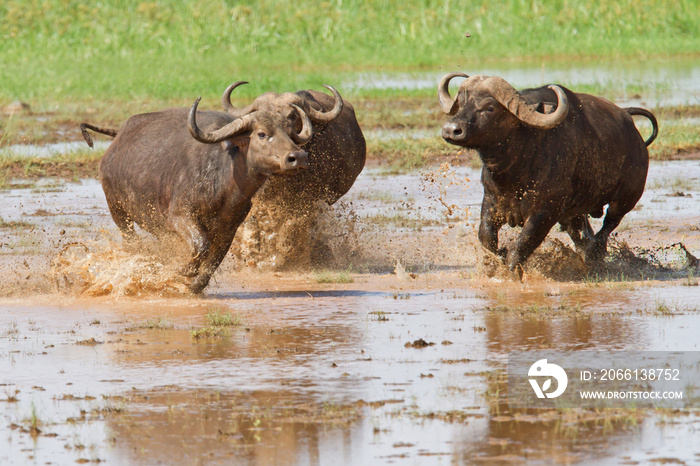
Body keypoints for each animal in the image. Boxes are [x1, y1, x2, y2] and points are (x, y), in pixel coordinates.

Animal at [80, 97, 314, 294]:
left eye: (289, 133)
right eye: (262, 134)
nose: (298, 157)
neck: (226, 181)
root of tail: (116, 141)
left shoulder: (229, 228)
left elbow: (213, 261)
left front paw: (193, 284)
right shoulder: (180, 217)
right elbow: (201, 245)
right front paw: (183, 270)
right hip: (118, 210)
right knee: (131, 241)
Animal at [440, 71, 660, 278]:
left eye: (489, 108)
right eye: (461, 104)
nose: (451, 129)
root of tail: (632, 128)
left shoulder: (544, 212)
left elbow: (521, 246)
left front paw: (511, 273)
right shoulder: (491, 202)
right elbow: (486, 239)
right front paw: (499, 256)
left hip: (625, 199)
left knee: (606, 228)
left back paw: (594, 254)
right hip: (573, 213)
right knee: (582, 234)